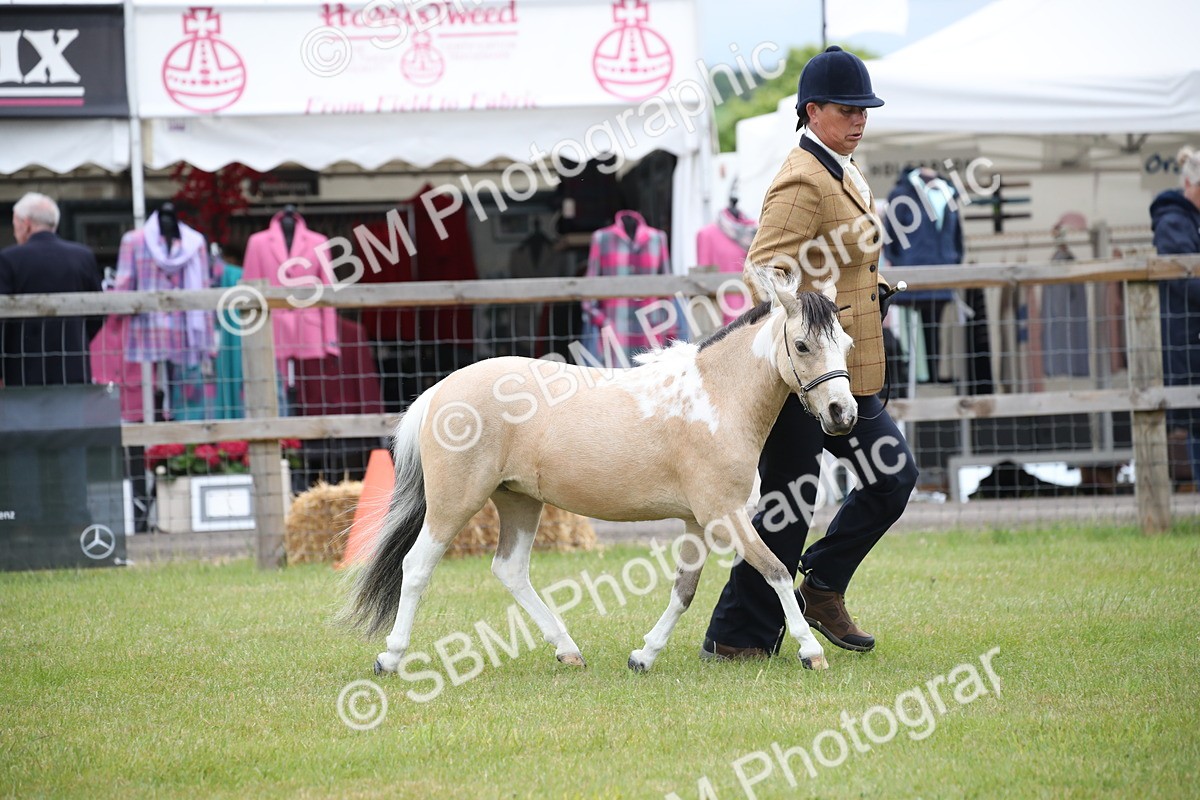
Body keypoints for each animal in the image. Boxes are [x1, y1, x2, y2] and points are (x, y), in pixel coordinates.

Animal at [345, 270, 858, 674]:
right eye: (802, 344)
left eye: (847, 344)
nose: (843, 414)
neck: (716, 398)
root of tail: (439, 392)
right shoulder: (724, 515)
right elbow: (775, 570)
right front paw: (811, 651)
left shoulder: (697, 521)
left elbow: (684, 591)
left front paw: (643, 656)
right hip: (455, 501)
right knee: (417, 567)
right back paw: (390, 657)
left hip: (519, 500)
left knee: (510, 569)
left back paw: (567, 650)